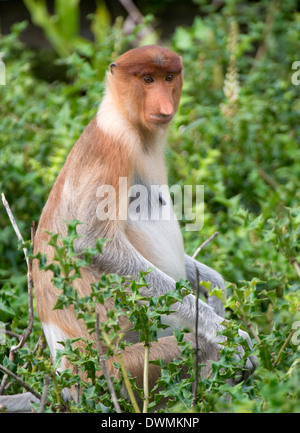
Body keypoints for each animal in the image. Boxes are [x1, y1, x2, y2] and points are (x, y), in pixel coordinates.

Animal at [32, 45, 254, 400]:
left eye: (168, 78)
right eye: (147, 79)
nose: (164, 105)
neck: (126, 119)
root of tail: (64, 371)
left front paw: (216, 289)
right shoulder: (114, 148)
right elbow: (89, 243)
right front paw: (223, 331)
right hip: (117, 372)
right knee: (200, 352)